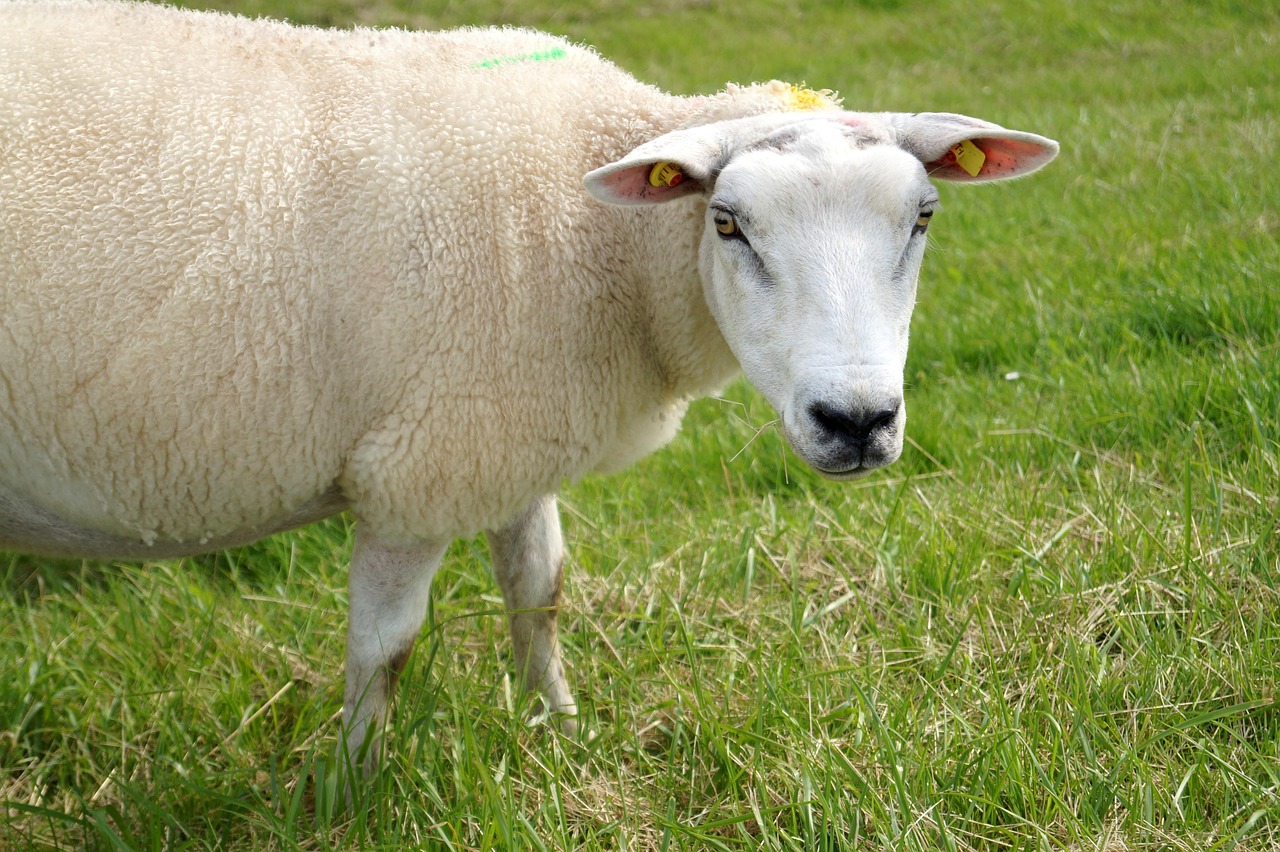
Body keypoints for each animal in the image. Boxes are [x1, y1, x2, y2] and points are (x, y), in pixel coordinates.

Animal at [0, 0, 1059, 767]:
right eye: (726, 224)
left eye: (922, 216)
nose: (857, 421)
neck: (603, 235)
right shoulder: (422, 467)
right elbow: (383, 651)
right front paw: (351, 786)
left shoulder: (511, 432)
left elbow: (539, 590)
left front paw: (557, 725)